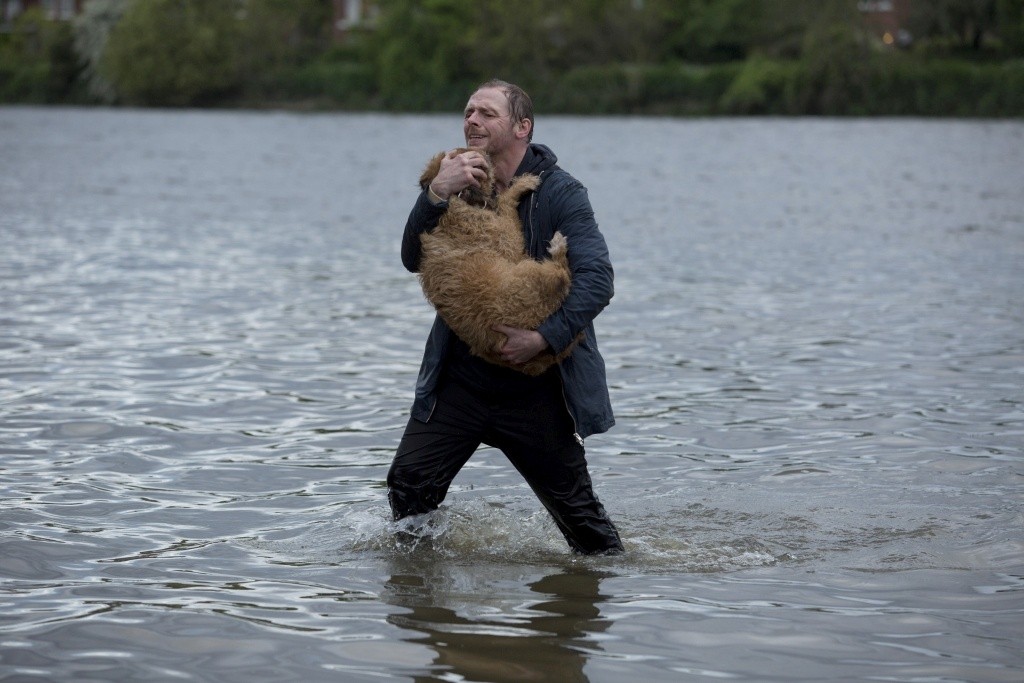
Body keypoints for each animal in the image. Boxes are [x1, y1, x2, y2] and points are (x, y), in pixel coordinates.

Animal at [413, 149, 577, 376]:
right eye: (469, 155)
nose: (483, 151)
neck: (456, 200)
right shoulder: (508, 238)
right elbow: (506, 202)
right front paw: (522, 183)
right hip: (532, 274)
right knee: (561, 275)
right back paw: (558, 247)